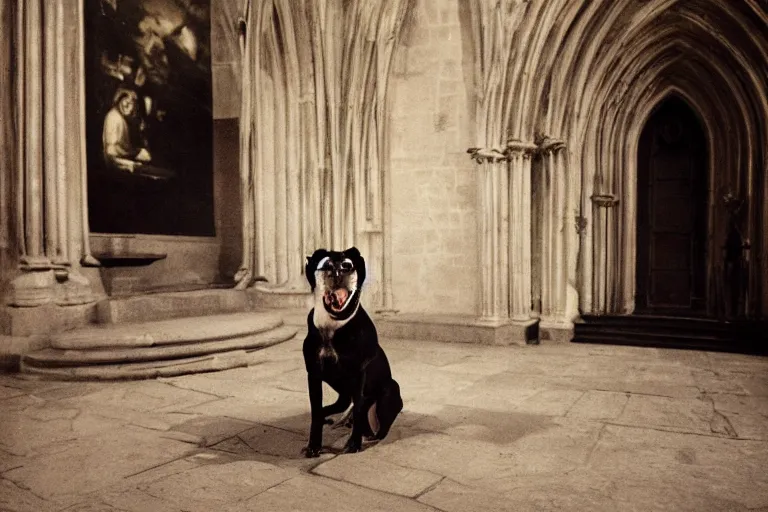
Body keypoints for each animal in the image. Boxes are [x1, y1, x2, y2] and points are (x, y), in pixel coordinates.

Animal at [304, 247, 404, 456]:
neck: (331, 327)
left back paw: (368, 434)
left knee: (380, 426)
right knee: (338, 407)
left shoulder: (358, 374)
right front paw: (314, 446)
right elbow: (316, 410)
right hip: (344, 391)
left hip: (389, 390)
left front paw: (353, 444)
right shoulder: (313, 374)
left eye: (347, 265)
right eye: (326, 265)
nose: (338, 273)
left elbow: (358, 409)